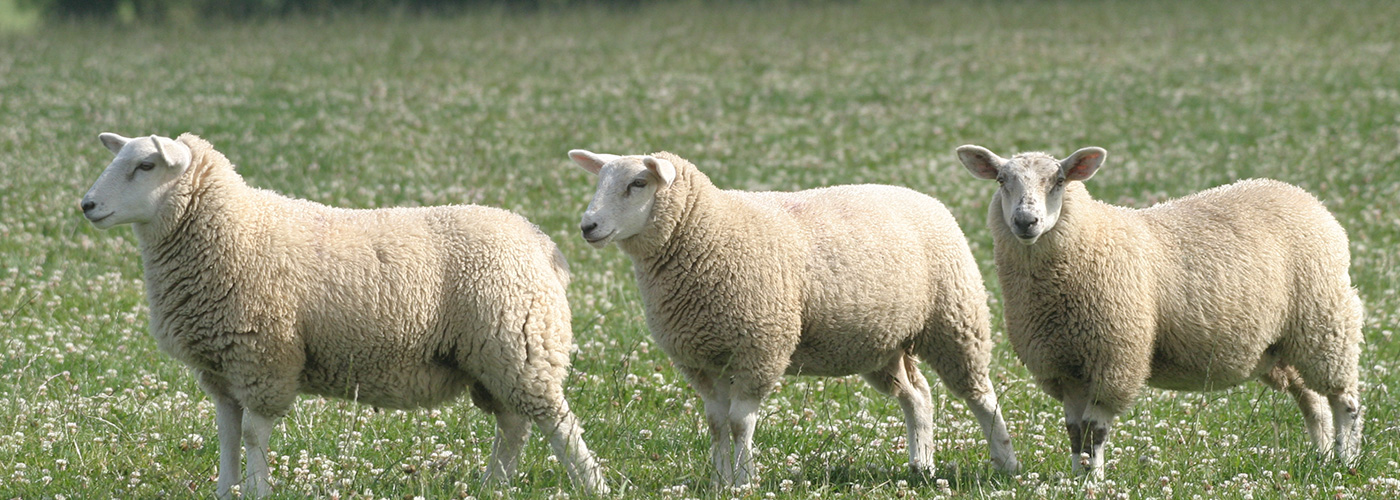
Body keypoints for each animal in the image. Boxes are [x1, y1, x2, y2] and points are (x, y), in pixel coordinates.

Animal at [79, 133, 608, 498]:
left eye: (146, 164)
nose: (87, 205)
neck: (232, 228)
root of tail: (540, 242)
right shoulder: (222, 368)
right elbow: (227, 435)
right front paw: (226, 491)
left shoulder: (264, 358)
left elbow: (252, 434)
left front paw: (257, 490)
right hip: (491, 357)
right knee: (513, 426)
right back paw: (491, 485)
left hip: (519, 344)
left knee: (558, 423)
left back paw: (594, 484)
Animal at [567, 149, 1021, 486]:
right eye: (599, 182)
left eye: (637, 184)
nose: (587, 226)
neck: (709, 233)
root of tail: (923, 197)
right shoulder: (700, 358)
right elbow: (716, 423)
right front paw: (718, 480)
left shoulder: (760, 347)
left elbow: (739, 423)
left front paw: (743, 481)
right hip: (879, 343)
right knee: (918, 395)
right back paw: (921, 464)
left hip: (953, 319)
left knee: (981, 396)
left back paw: (1006, 461)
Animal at [957, 144, 1364, 478]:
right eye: (1001, 180)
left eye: (1059, 180)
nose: (1025, 222)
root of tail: (1304, 196)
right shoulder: (1065, 366)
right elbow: (1075, 432)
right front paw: (1077, 477)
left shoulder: (1115, 361)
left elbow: (1095, 431)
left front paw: (1093, 480)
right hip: (1280, 345)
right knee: (1314, 402)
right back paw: (1323, 454)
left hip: (1327, 322)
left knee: (1343, 399)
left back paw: (1343, 460)